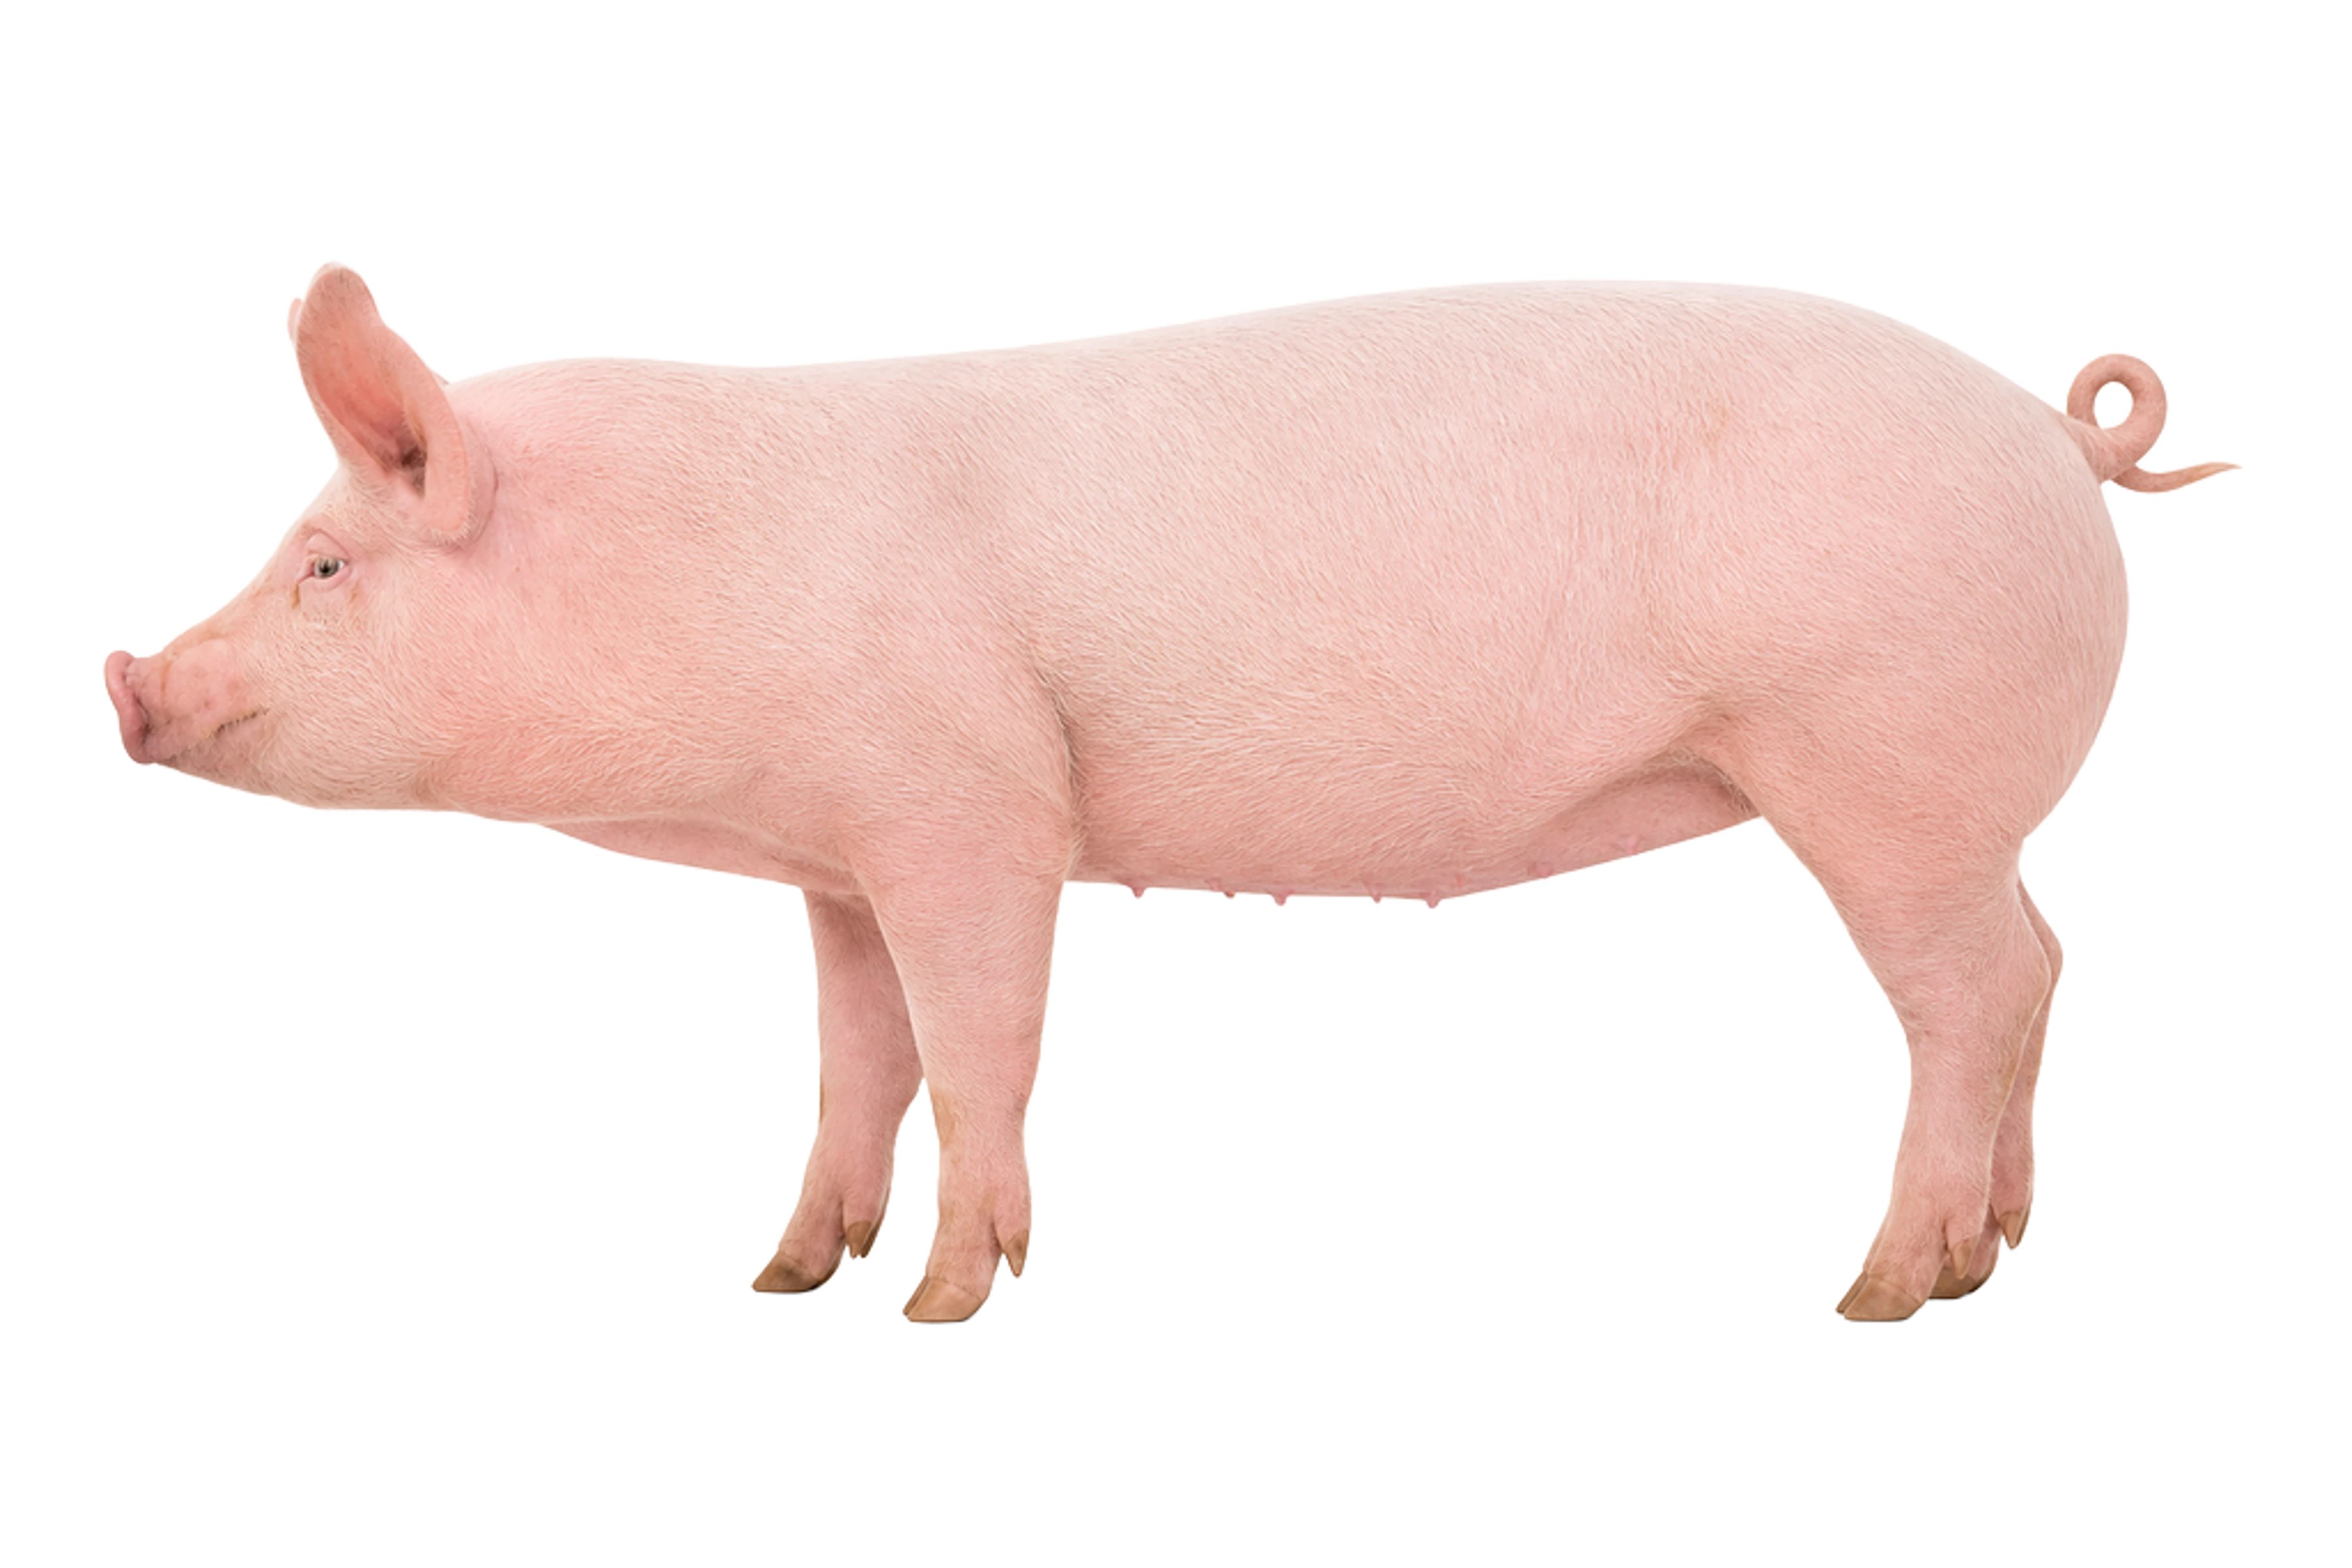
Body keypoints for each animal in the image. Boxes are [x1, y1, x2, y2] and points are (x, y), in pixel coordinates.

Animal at [103, 261, 2241, 1326]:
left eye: (324, 563)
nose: (123, 679)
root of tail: (2060, 439)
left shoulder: (973, 805)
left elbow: (981, 1049)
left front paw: (944, 1304)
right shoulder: (839, 863)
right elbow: (858, 1059)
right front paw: (786, 1275)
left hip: (1879, 769)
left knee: (1973, 994)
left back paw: (1884, 1293)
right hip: (1945, 805)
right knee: (2039, 969)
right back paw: (1992, 1258)